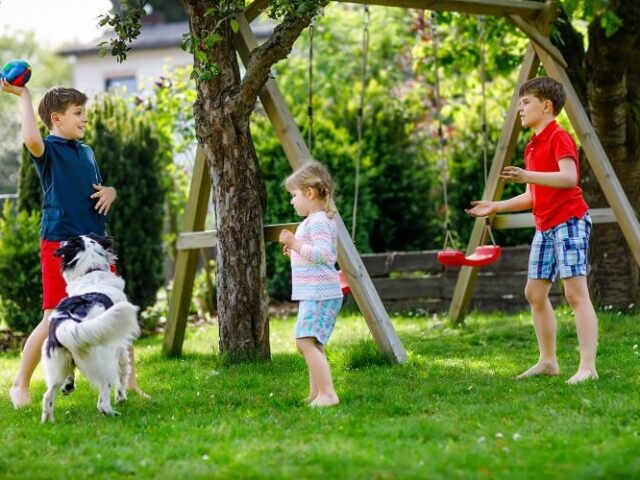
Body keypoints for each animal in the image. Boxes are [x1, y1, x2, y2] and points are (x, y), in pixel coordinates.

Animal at [41, 234, 140, 422]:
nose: (60, 242)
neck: (92, 271)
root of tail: (68, 319)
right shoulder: (121, 348)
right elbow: (123, 374)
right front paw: (122, 398)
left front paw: (69, 385)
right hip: (105, 362)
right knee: (102, 401)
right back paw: (113, 413)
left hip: (57, 364)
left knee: (47, 396)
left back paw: (48, 423)